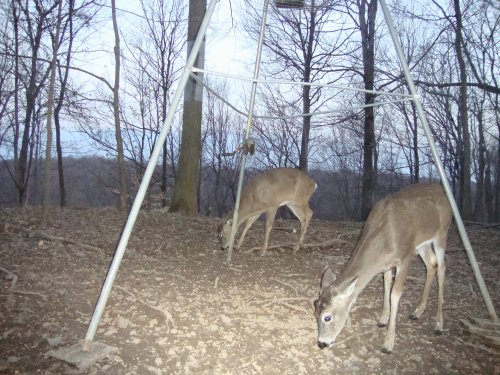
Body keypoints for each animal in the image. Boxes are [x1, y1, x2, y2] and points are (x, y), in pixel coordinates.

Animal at [316, 185, 454, 356]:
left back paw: (439, 324)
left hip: (442, 233)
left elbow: (394, 294)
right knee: (431, 264)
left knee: (441, 268)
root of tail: (441, 188)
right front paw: (382, 319)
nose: (321, 343)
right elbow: (386, 285)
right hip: (423, 243)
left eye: (327, 317)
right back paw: (417, 312)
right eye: (315, 312)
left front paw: (388, 343)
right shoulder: (386, 264)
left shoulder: (406, 256)